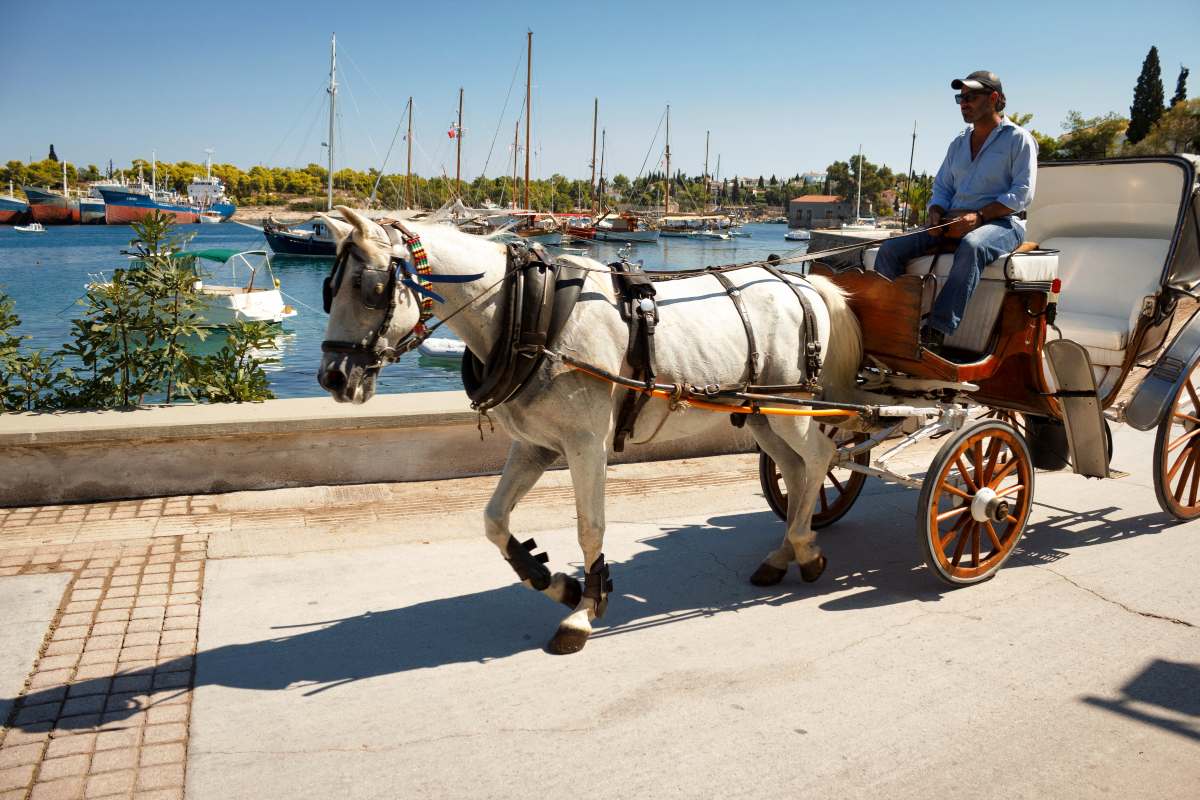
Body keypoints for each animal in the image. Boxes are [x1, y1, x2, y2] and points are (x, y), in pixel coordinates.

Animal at [319, 209, 864, 652]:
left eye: (371, 289)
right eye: (329, 288)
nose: (333, 378)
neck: (530, 313)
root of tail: (806, 284)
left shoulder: (586, 446)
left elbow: (590, 527)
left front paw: (585, 610)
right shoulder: (534, 445)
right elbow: (494, 520)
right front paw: (554, 581)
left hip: (791, 406)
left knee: (819, 458)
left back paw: (806, 550)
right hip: (762, 413)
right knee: (795, 469)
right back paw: (785, 551)